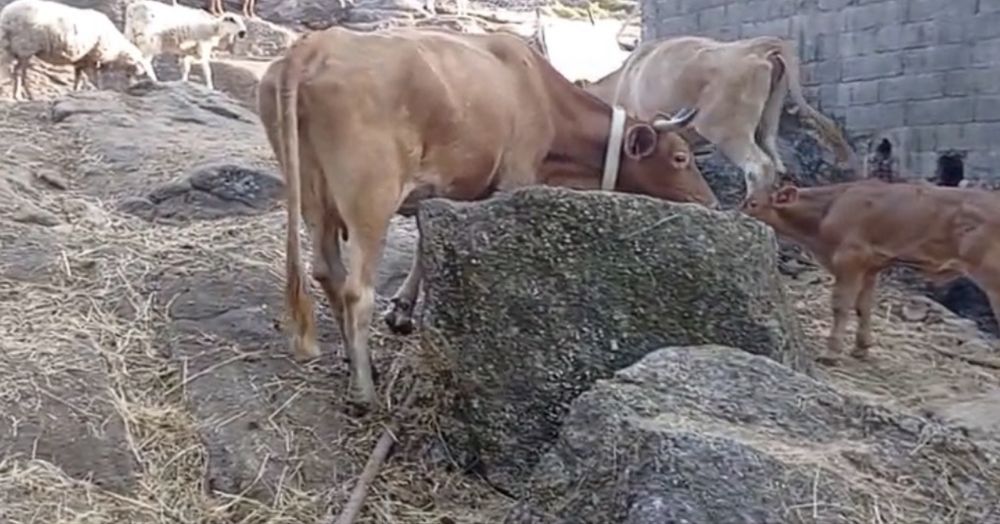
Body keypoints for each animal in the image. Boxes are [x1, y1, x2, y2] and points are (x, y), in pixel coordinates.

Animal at [257, 26, 719, 409]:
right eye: (681, 157)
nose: (712, 202)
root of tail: (315, 46)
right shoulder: (513, 178)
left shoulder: (448, 189)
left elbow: (426, 242)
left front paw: (403, 309)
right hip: (371, 195)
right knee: (357, 289)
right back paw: (364, 392)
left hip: (314, 194)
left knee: (326, 271)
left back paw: (358, 364)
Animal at [741, 180, 1000, 363]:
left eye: (753, 203)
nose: (736, 213)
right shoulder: (871, 266)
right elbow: (863, 306)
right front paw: (861, 348)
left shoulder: (849, 258)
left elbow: (841, 304)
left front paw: (831, 353)